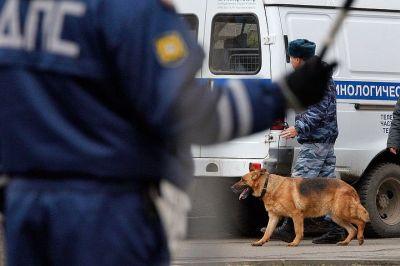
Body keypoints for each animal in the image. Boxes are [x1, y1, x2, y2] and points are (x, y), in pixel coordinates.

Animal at [231, 169, 368, 246]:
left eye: (242, 180)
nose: (231, 188)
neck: (268, 185)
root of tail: (350, 187)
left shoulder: (296, 215)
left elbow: (298, 231)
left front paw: (295, 243)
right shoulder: (274, 217)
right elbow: (267, 232)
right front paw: (260, 242)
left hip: (342, 213)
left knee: (361, 222)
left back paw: (360, 238)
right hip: (337, 217)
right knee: (352, 229)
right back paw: (345, 242)